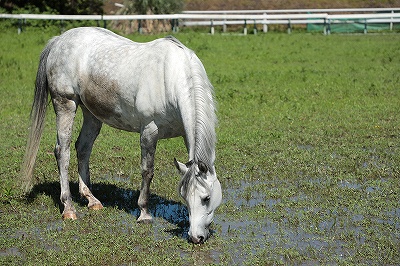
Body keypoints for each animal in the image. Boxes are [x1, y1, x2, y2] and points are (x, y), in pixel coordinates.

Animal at [21, 27, 222, 243]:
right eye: (185, 196)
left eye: (206, 198)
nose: (196, 237)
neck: (169, 76)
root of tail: (59, 40)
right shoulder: (149, 131)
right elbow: (147, 171)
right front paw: (144, 213)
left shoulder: (185, 133)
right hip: (65, 104)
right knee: (62, 152)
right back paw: (69, 208)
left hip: (90, 113)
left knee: (82, 148)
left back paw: (92, 200)